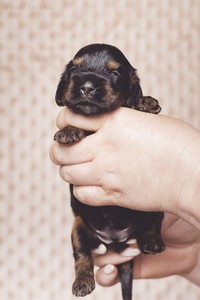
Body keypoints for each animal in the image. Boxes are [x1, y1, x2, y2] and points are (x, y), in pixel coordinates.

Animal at [54, 42, 165, 300]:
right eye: (74, 69)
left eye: (114, 73)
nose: (86, 87)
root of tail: (117, 241)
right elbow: (78, 121)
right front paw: (69, 130)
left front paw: (145, 102)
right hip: (78, 226)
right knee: (82, 255)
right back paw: (83, 282)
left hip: (153, 205)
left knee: (153, 224)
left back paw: (151, 242)